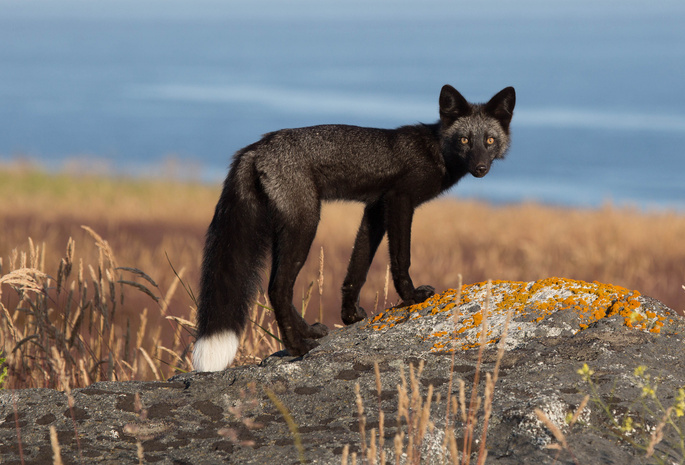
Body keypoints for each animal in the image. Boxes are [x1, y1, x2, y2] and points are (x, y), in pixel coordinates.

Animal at [192, 85, 512, 372]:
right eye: (465, 140)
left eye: (490, 140)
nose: (481, 168)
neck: (435, 151)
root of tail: (256, 147)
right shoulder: (400, 200)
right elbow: (401, 258)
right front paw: (411, 297)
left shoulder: (375, 208)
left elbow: (357, 266)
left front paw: (349, 316)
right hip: (305, 224)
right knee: (277, 288)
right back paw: (298, 347)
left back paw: (309, 332)